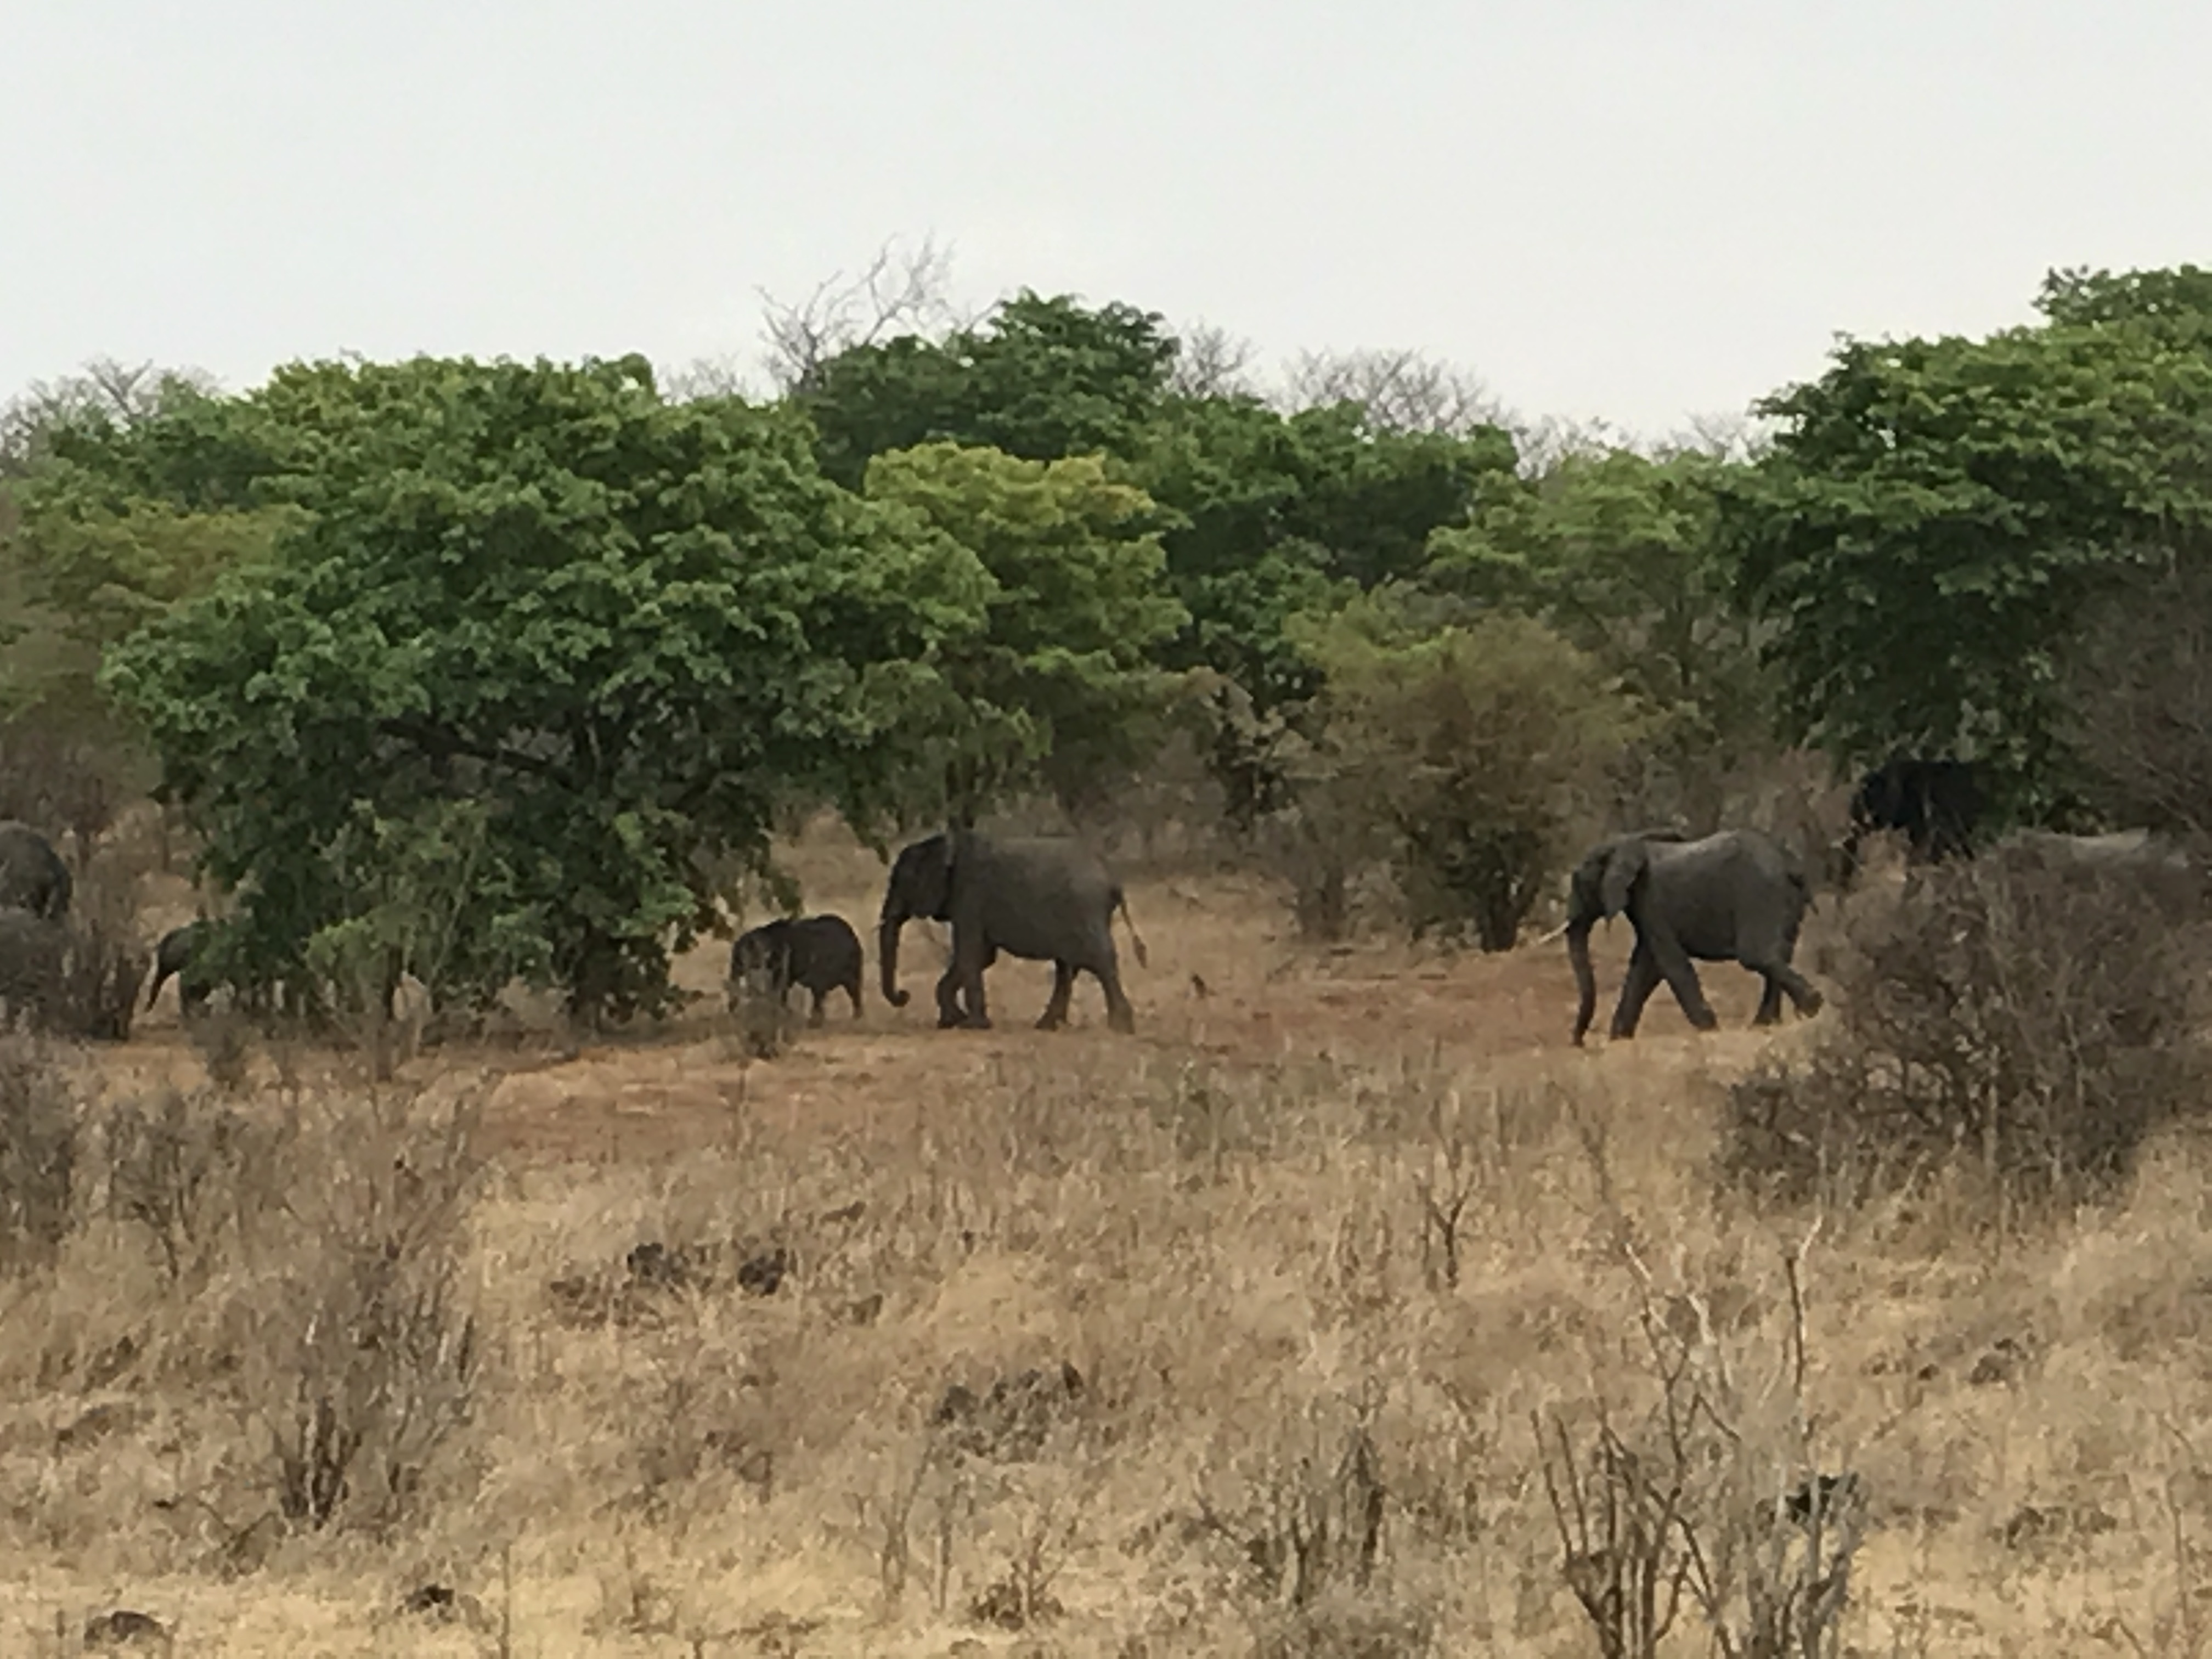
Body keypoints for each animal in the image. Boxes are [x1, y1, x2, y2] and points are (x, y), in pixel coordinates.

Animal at [878, 830, 1148, 1034]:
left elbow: (970, 955)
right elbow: (981, 958)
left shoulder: (970, 897)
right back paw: (1047, 1026)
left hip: (1084, 910)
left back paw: (1120, 1027)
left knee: (1099, 961)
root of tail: (1114, 880)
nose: (904, 995)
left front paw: (971, 1025)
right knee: (1068, 967)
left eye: (902, 881)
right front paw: (951, 1021)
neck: (949, 845)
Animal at [1562, 827, 1824, 1046]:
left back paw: (1811, 1006)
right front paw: (1618, 1040)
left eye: (1580, 883)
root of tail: (1790, 862)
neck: (1627, 843)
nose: (1580, 1043)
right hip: (1786, 899)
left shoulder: (1652, 903)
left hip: (1760, 893)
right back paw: (1766, 1024)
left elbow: (1669, 963)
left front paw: (1711, 1030)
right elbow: (1645, 968)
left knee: (1756, 955)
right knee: (1779, 953)